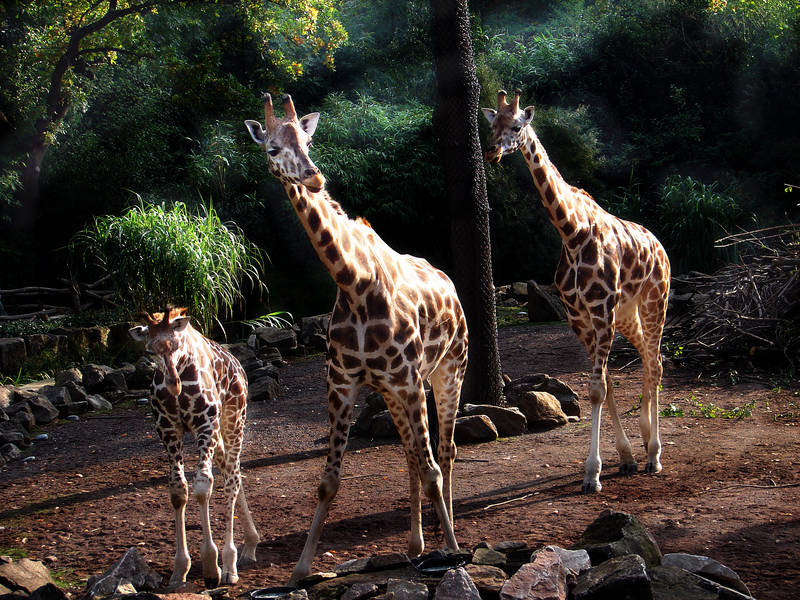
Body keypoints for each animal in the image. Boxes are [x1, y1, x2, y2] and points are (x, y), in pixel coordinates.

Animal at [128, 308, 260, 588]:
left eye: (177, 344)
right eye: (149, 351)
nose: (172, 384)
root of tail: (239, 366)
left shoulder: (204, 425)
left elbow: (202, 486)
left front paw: (212, 565)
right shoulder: (168, 429)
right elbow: (178, 491)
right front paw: (180, 569)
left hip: (234, 420)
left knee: (231, 478)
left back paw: (231, 563)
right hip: (219, 434)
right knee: (232, 471)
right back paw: (250, 545)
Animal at [244, 94, 468, 580]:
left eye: (309, 140)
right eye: (272, 148)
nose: (313, 176)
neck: (354, 282)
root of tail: (452, 284)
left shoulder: (408, 380)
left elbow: (432, 468)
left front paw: (455, 550)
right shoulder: (343, 384)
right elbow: (328, 481)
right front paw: (301, 569)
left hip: (447, 371)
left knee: (444, 452)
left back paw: (449, 536)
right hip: (392, 391)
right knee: (411, 453)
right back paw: (417, 544)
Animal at [484, 89, 672, 492]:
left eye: (517, 125)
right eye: (490, 125)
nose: (491, 151)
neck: (571, 231)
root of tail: (660, 246)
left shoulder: (601, 311)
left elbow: (597, 388)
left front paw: (592, 474)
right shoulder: (580, 318)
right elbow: (608, 385)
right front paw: (625, 458)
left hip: (655, 301)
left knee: (656, 362)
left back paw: (655, 454)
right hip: (627, 313)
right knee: (649, 360)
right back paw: (646, 444)